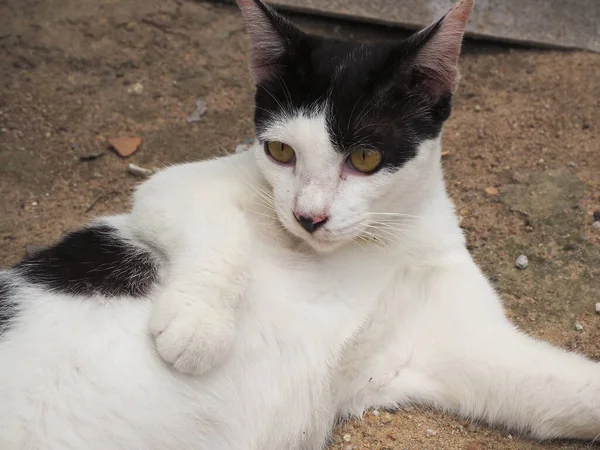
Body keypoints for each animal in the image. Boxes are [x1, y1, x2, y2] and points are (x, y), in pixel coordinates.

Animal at [1, 0, 600, 448]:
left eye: (364, 159)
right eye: (281, 151)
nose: (308, 217)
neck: (368, 249)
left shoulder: (456, 345)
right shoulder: (167, 189)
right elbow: (216, 225)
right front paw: (198, 326)